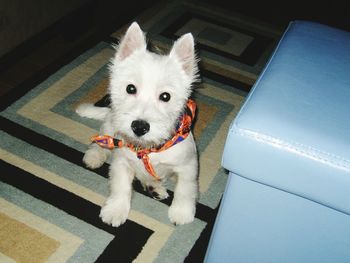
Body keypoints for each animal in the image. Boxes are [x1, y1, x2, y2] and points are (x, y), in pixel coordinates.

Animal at [76, 22, 200, 227]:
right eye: (130, 88)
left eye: (165, 96)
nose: (139, 127)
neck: (148, 149)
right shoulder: (121, 162)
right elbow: (120, 187)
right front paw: (116, 209)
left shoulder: (188, 166)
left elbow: (185, 188)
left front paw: (181, 212)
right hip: (111, 125)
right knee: (101, 140)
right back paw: (94, 156)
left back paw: (154, 187)